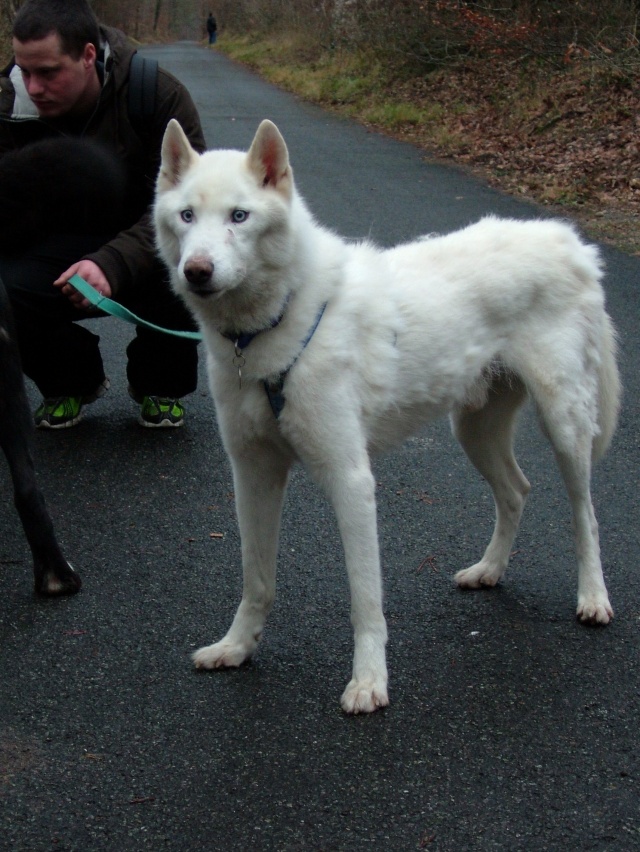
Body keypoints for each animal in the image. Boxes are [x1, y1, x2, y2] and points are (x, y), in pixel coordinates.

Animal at [155, 118, 620, 712]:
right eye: (186, 215)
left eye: (239, 216)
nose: (196, 271)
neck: (279, 322)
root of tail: (570, 242)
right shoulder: (253, 474)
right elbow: (256, 580)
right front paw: (237, 647)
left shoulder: (350, 479)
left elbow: (364, 599)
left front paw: (370, 681)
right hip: (474, 428)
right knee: (517, 490)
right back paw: (490, 570)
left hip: (564, 424)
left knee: (585, 514)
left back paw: (592, 596)